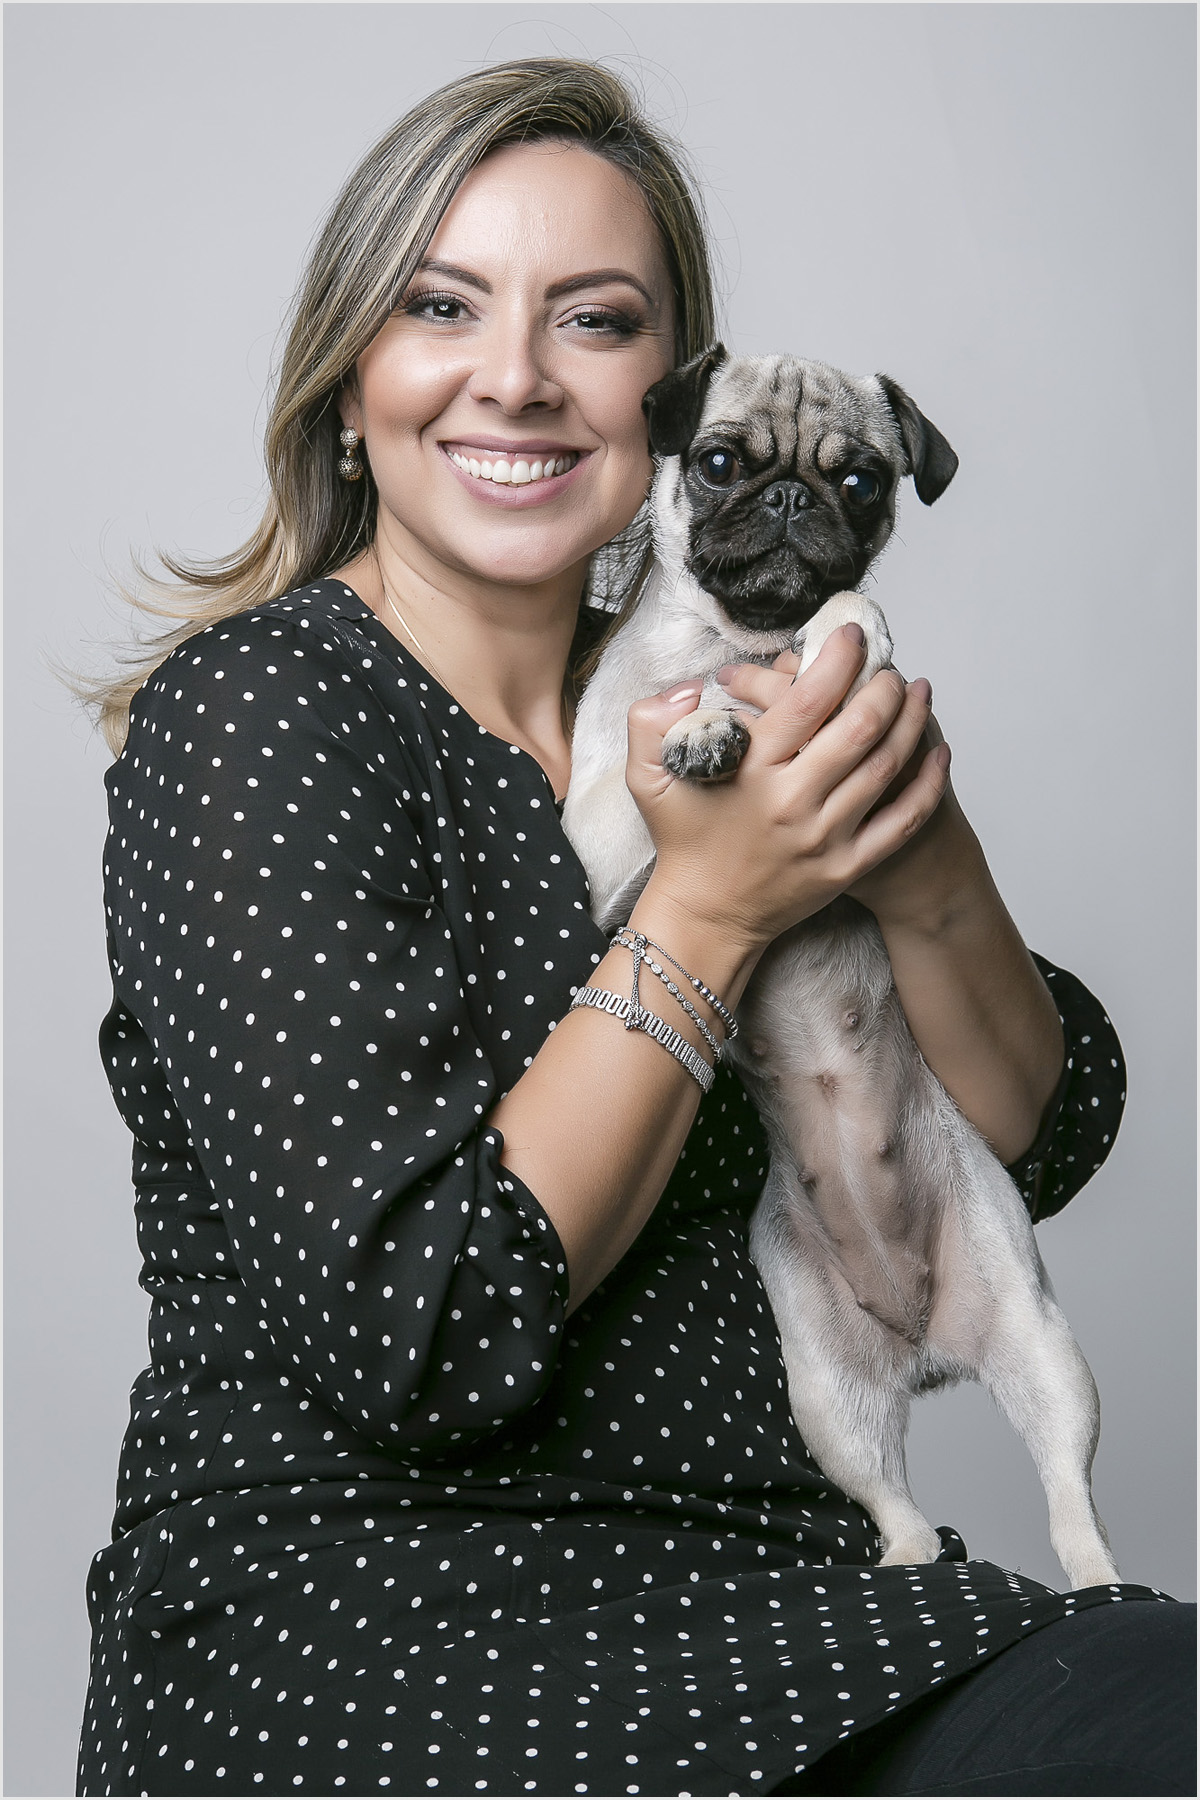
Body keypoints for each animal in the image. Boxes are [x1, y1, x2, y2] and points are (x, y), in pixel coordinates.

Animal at [562, 347, 1120, 1590]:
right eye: (721, 462)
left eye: (859, 481)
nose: (787, 500)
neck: (748, 636)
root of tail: (925, 1350)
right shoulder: (600, 836)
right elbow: (678, 719)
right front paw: (706, 723)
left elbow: (851, 618)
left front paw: (835, 636)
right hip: (820, 1386)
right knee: (888, 1492)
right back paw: (911, 1561)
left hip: (1043, 1347)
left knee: (1066, 1488)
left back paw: (1099, 1572)